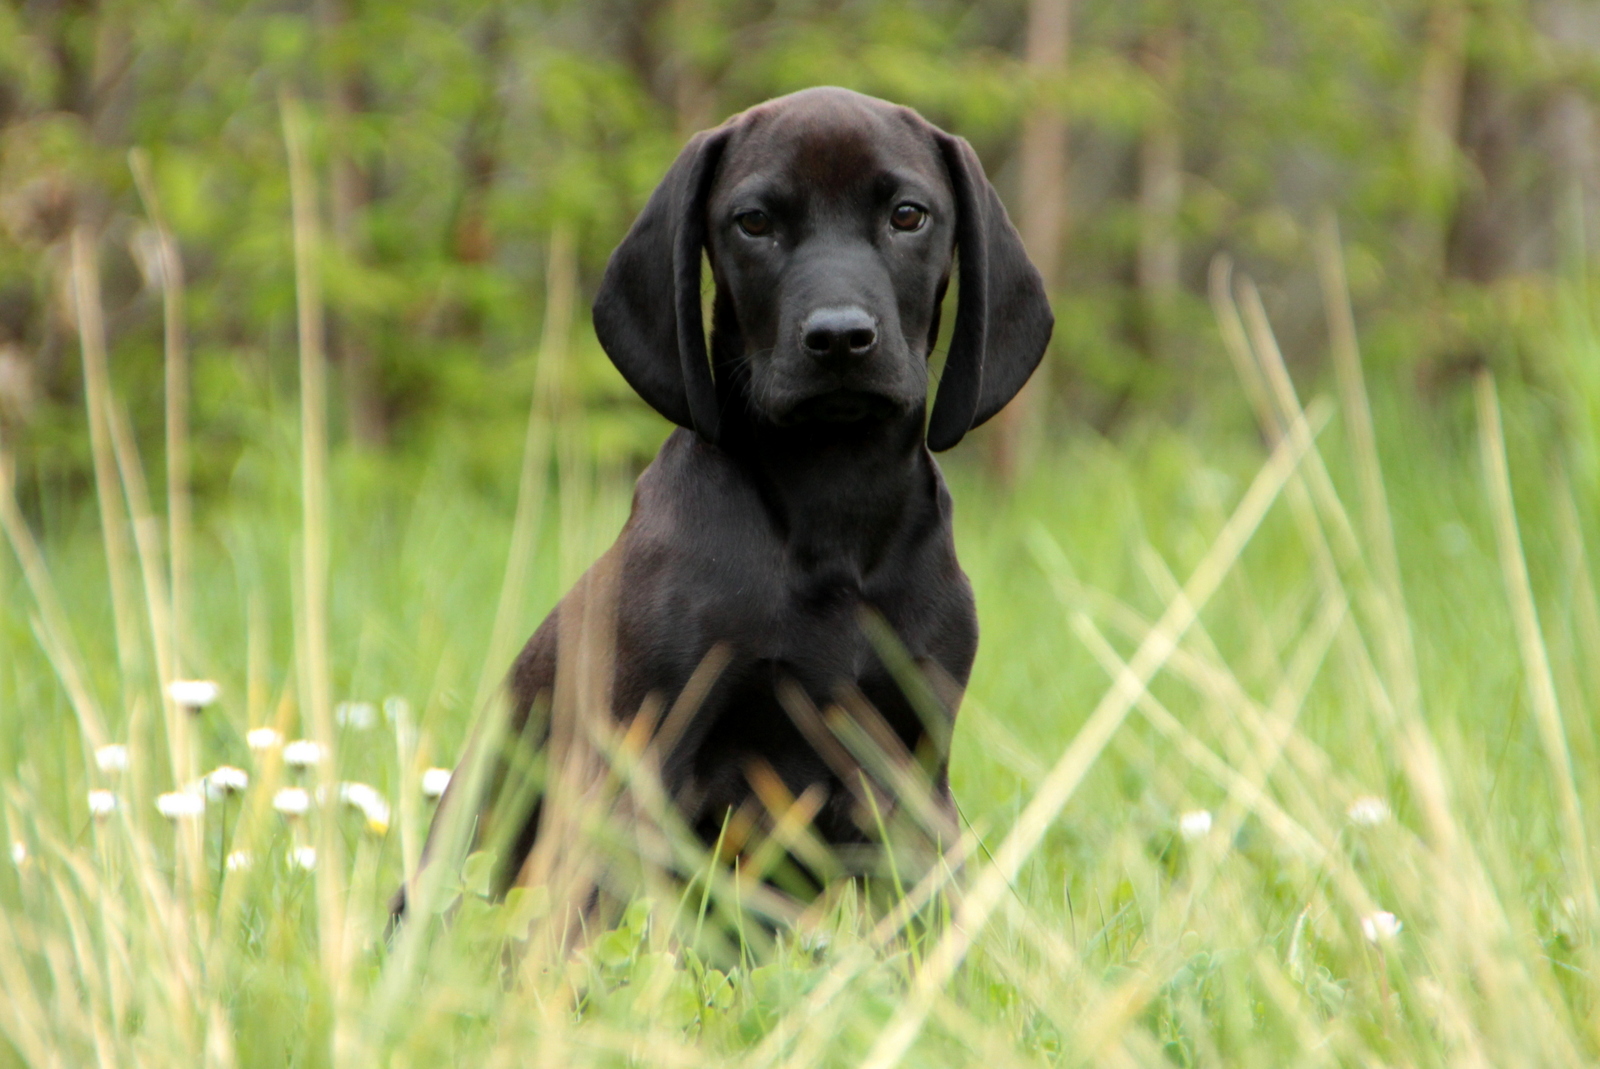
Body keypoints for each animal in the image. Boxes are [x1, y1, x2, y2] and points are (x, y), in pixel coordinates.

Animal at [400, 87, 1049, 915]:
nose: (840, 338)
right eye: (754, 222)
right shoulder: (642, 760)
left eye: (909, 215)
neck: (830, 500)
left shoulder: (908, 777)